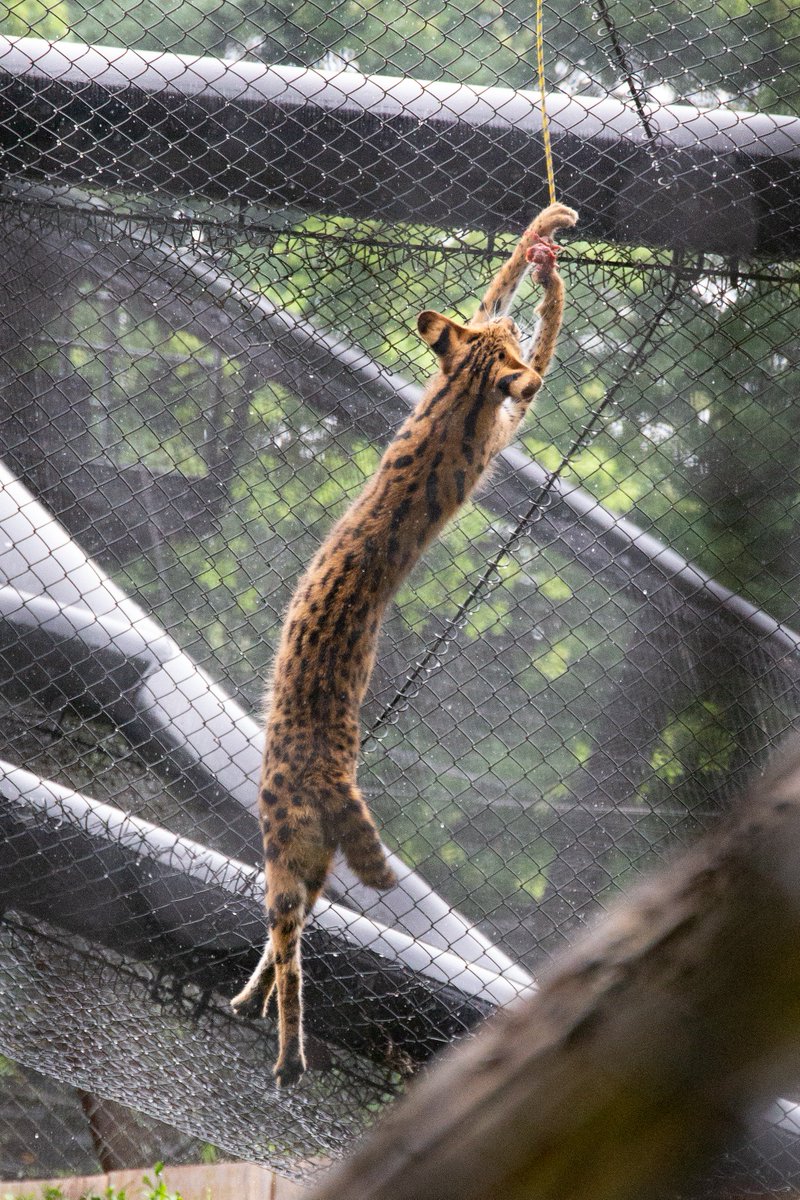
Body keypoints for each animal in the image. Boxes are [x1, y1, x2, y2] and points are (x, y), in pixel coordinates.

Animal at [232, 201, 582, 1084]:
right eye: (495, 336)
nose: (499, 342)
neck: (455, 395)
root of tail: (330, 773)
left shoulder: (500, 404)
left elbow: (533, 341)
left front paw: (544, 252)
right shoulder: (498, 403)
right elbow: (526, 329)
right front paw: (542, 242)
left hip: (290, 851)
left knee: (288, 940)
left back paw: (282, 1043)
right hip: (302, 855)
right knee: (289, 938)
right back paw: (270, 1024)